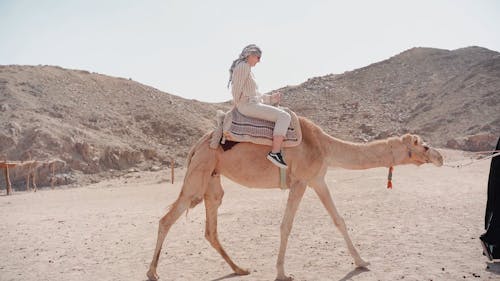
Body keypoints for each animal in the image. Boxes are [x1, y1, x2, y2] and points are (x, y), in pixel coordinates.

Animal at [146, 116, 444, 280]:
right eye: (425, 145)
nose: (440, 157)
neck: (325, 146)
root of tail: (195, 145)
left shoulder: (318, 179)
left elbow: (339, 220)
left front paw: (362, 262)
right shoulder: (300, 181)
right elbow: (286, 225)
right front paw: (281, 273)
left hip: (212, 180)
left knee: (210, 229)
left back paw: (240, 269)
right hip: (199, 175)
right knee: (166, 219)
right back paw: (152, 272)